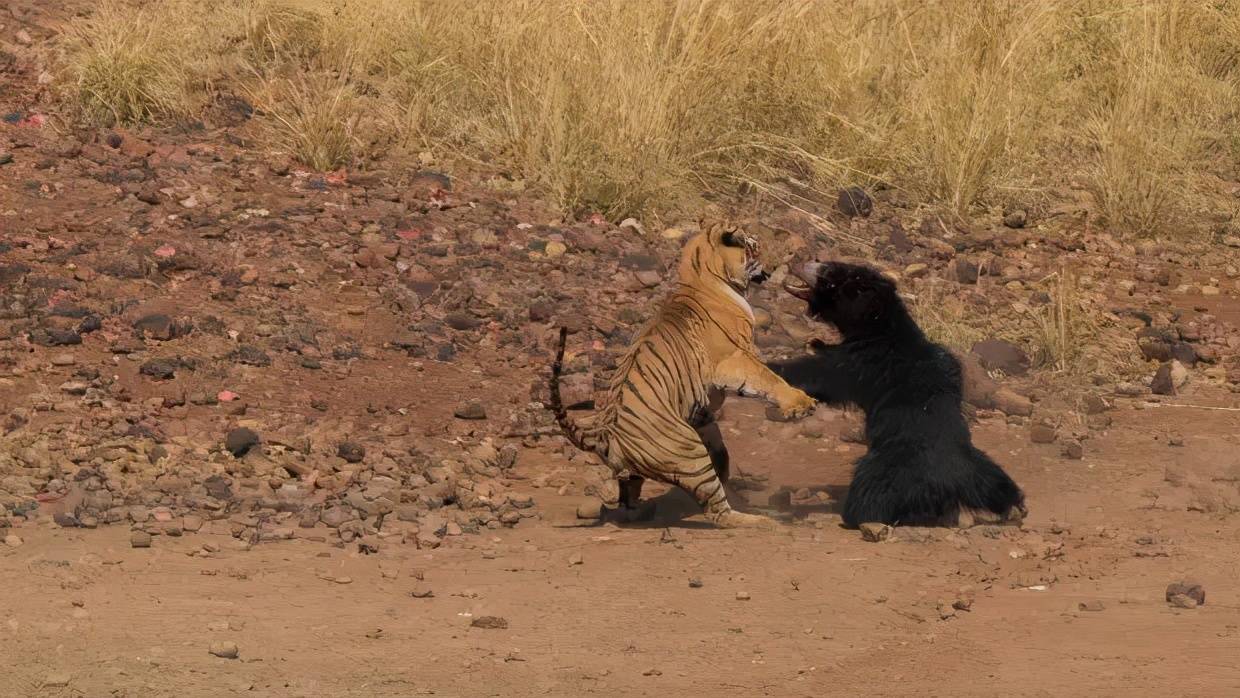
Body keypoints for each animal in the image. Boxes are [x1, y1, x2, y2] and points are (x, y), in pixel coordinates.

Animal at [550, 218, 818, 530]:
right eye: (754, 246)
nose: (776, 265)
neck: (701, 275)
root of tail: (606, 436)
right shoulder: (734, 360)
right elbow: (768, 378)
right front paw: (801, 404)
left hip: (652, 465)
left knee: (629, 498)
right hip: (691, 454)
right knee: (718, 512)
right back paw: (763, 520)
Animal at [773, 262, 1026, 530]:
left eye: (830, 279)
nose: (798, 263)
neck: (884, 327)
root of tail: (951, 486)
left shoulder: (862, 362)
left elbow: (820, 374)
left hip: (886, 473)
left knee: (867, 500)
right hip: (983, 469)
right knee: (1001, 485)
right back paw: (1011, 508)